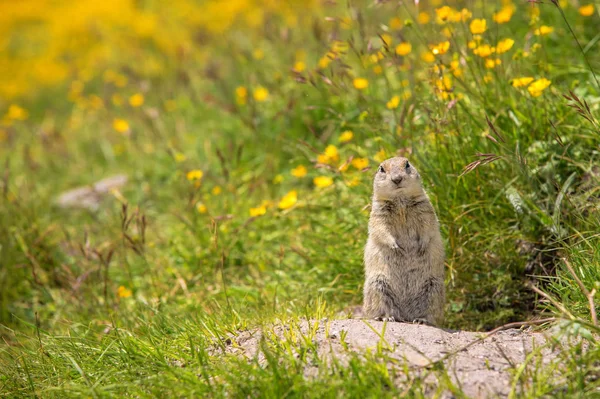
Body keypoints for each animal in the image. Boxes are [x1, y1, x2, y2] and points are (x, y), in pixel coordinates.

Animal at [360, 156, 446, 324]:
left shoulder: (425, 208)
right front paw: (395, 246)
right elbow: (381, 229)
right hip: (377, 285)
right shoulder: (379, 213)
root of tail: (405, 315)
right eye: (381, 169)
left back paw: (421, 319)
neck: (400, 200)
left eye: (407, 164)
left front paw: (422, 245)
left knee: (431, 313)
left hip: (434, 288)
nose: (397, 179)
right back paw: (386, 317)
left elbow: (428, 226)